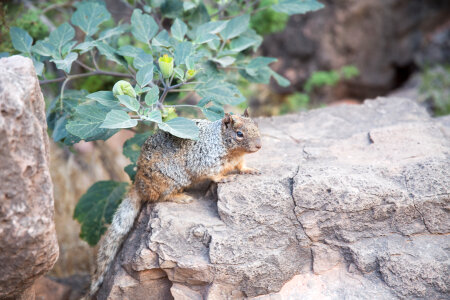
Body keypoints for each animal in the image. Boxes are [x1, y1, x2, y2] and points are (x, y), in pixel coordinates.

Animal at [88, 109, 262, 296]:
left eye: (256, 126)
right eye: (239, 134)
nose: (259, 146)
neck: (223, 143)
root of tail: (139, 184)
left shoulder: (238, 160)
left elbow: (242, 166)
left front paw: (251, 170)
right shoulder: (204, 162)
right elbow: (213, 175)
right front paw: (224, 178)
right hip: (174, 180)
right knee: (161, 197)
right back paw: (181, 197)